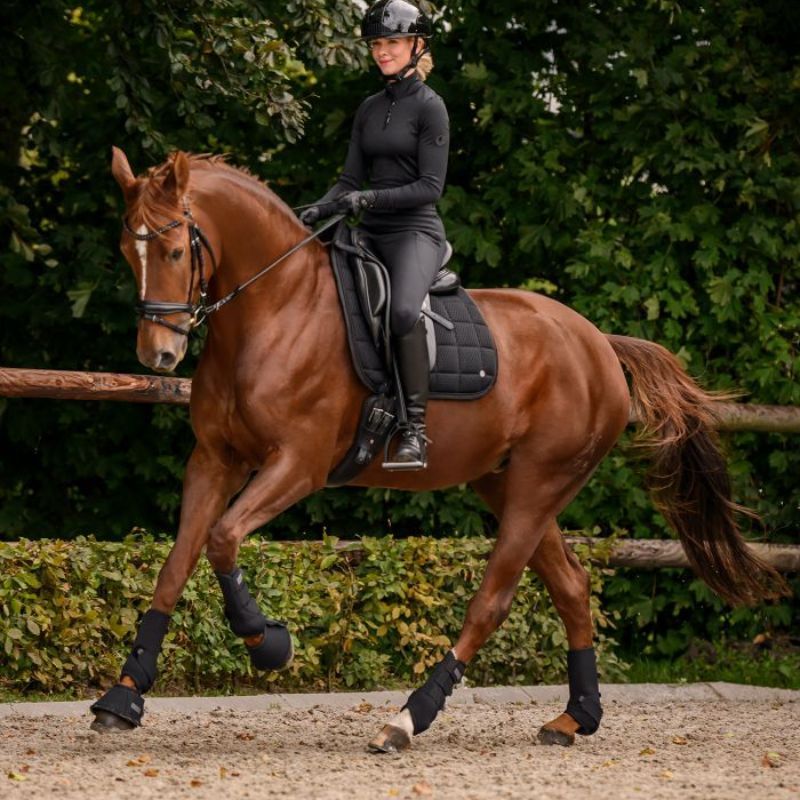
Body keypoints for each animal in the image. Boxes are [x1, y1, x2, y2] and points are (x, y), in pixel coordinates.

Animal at [93, 146, 787, 751]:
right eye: (127, 254)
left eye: (176, 250)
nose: (159, 355)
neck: (275, 309)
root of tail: (598, 344)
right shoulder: (215, 460)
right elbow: (177, 564)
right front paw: (124, 696)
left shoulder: (298, 465)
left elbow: (223, 539)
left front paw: (269, 642)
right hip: (508, 483)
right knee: (571, 585)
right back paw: (575, 717)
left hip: (539, 483)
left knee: (494, 600)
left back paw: (408, 718)